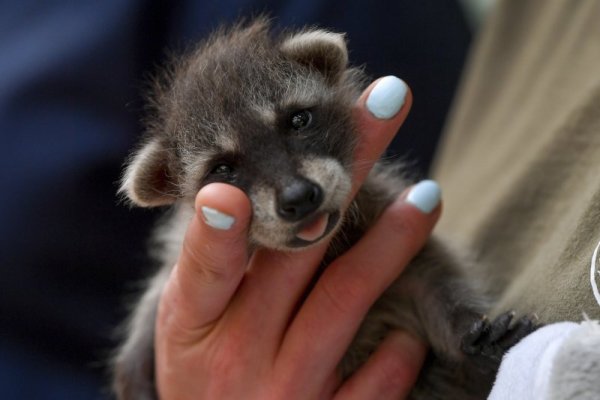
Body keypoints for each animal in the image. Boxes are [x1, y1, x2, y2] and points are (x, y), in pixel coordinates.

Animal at [112, 18, 536, 400]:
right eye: (222, 169)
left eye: (298, 119)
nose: (299, 197)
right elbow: (159, 290)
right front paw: (137, 349)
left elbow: (432, 273)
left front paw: (463, 325)